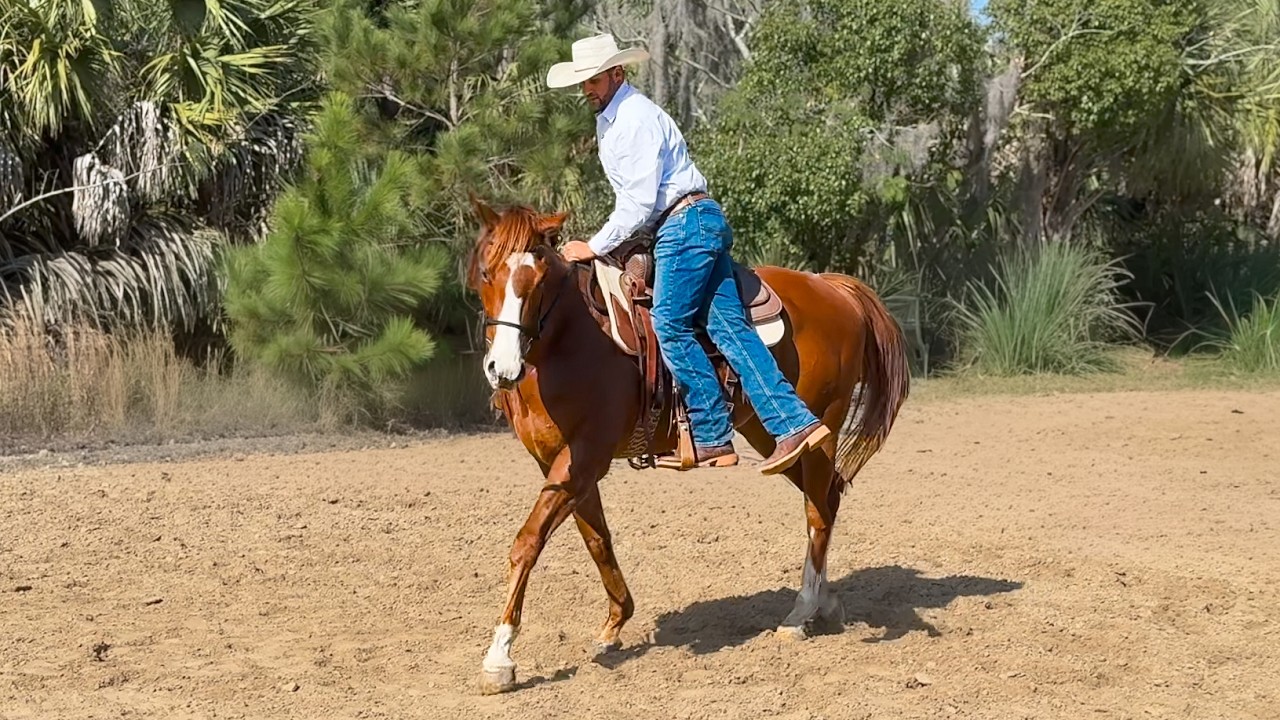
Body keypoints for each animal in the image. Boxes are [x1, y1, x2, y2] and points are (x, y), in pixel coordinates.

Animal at [465, 196, 910, 694]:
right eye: (486, 273)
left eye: (539, 280)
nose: (502, 368)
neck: (571, 340)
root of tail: (833, 288)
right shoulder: (558, 465)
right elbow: (597, 539)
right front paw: (615, 624)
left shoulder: (585, 458)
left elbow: (527, 542)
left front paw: (499, 658)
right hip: (774, 437)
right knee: (828, 497)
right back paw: (825, 605)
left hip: (821, 427)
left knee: (817, 510)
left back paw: (800, 614)